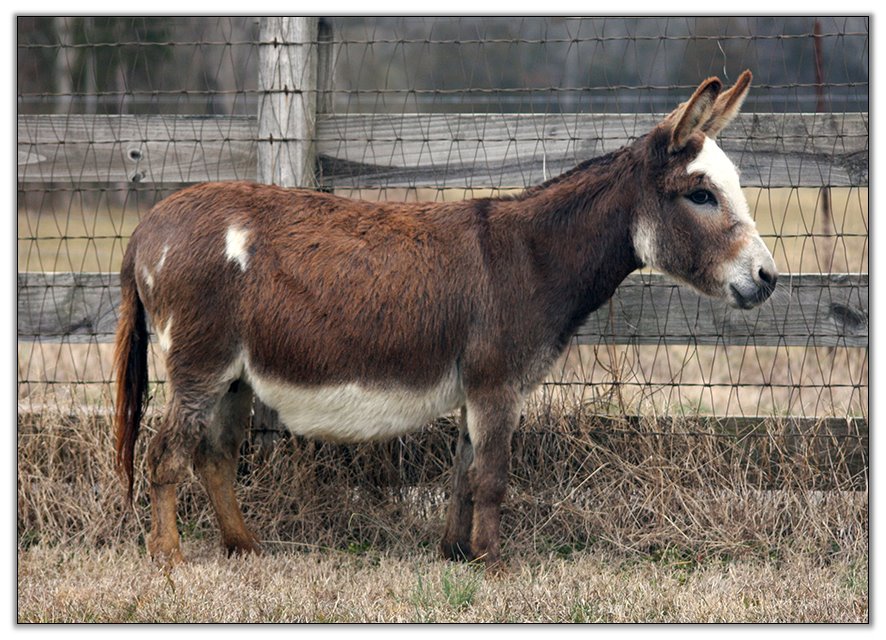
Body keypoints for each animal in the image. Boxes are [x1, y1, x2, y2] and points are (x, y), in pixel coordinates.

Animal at [113, 71, 776, 568]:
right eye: (700, 195)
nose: (769, 278)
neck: (532, 256)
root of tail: (146, 227)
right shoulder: (497, 385)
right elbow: (493, 477)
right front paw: (494, 564)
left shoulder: (476, 388)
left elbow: (464, 474)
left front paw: (456, 554)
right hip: (200, 364)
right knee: (166, 454)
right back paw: (168, 557)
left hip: (233, 377)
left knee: (216, 456)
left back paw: (245, 547)